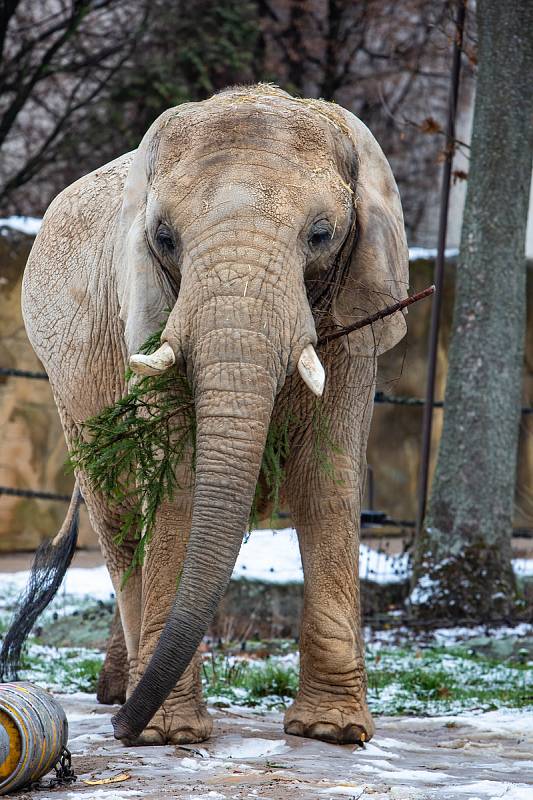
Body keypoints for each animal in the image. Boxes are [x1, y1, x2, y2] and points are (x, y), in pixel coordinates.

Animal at [15, 84, 408, 748]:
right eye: (165, 238)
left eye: (321, 234)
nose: (121, 733)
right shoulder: (146, 311)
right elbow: (178, 477)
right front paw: (169, 734)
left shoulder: (352, 318)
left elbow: (326, 479)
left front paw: (331, 732)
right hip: (67, 377)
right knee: (117, 516)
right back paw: (125, 693)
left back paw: (119, 692)